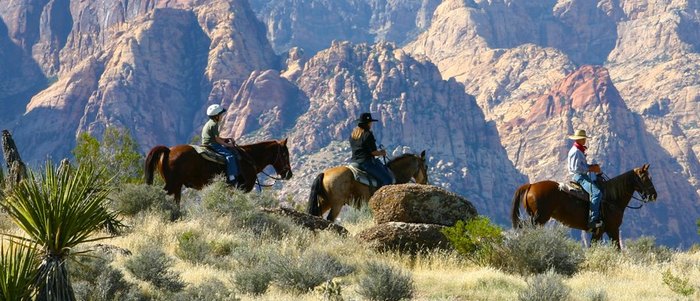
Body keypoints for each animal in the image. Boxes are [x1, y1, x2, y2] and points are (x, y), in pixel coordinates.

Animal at [145, 138, 292, 206]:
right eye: (285, 154)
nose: (289, 174)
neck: (249, 158)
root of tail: (169, 150)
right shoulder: (240, 189)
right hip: (172, 184)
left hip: (177, 186)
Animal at [508, 163, 656, 247]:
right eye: (645, 178)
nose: (654, 195)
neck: (612, 199)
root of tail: (531, 185)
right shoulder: (612, 229)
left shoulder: (599, 232)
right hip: (539, 219)